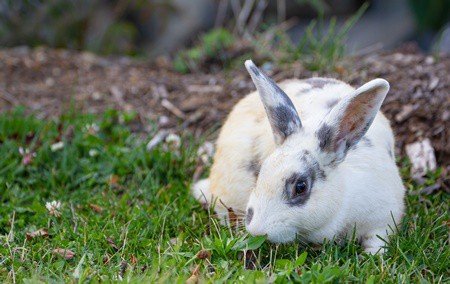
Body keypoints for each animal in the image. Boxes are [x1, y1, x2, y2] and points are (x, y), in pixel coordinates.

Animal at [192, 59, 406, 253]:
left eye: (300, 187)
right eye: (260, 173)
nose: (257, 229)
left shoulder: (383, 218)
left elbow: (376, 240)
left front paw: (373, 256)